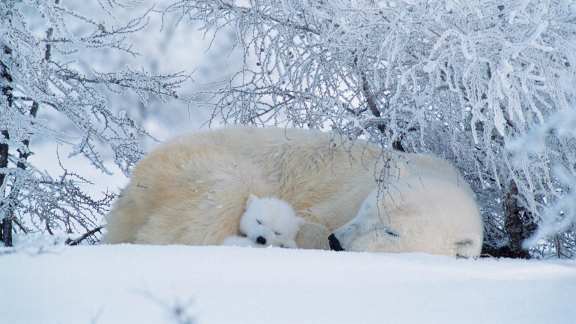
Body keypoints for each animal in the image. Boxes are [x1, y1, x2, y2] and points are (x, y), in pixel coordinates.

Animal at [102, 126, 482, 256]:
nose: (337, 241)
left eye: (391, 231)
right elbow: (307, 219)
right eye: (367, 208)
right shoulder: (344, 195)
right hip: (197, 165)